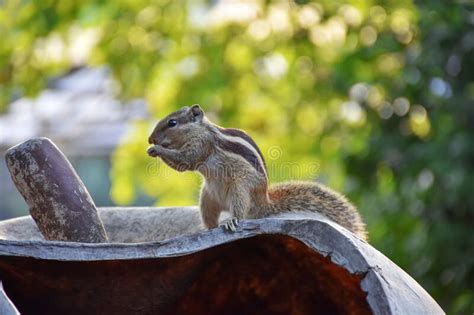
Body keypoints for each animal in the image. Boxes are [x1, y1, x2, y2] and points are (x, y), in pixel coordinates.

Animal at [146, 105, 368, 241]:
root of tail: (264, 201)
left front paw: (157, 150)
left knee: (241, 213)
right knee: (210, 219)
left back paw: (232, 221)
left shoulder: (202, 145)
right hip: (207, 198)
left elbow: (186, 161)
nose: (150, 139)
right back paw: (208, 229)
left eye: (172, 123)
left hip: (240, 189)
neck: (201, 129)